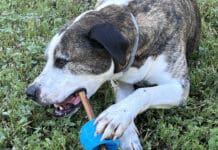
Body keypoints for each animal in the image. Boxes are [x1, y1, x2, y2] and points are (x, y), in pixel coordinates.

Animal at [26, 0, 201, 149]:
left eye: (62, 61)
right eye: (47, 58)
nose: (30, 92)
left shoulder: (180, 88)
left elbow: (143, 92)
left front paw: (115, 116)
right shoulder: (121, 82)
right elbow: (124, 99)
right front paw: (127, 136)